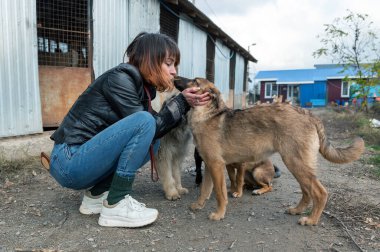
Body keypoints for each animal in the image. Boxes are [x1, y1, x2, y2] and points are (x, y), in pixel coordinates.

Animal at [178, 77, 366, 226]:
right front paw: (199, 205)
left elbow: (220, 193)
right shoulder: (210, 166)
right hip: (297, 166)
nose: (175, 78)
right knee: (307, 192)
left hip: (293, 164)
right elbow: (205, 190)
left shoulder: (216, 166)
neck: (205, 115)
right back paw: (297, 210)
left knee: (320, 193)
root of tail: (307, 113)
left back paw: (311, 220)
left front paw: (219, 214)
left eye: (195, 81)